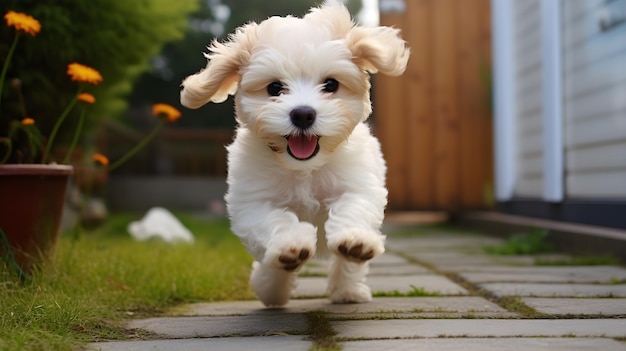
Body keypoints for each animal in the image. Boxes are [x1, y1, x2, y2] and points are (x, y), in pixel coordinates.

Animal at [178, 1, 408, 306]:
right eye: (275, 87)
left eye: (331, 84)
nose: (303, 114)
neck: (304, 168)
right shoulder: (252, 203)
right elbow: (274, 221)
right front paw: (291, 247)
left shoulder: (358, 184)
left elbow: (353, 207)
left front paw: (355, 241)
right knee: (269, 265)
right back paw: (272, 288)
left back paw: (348, 289)